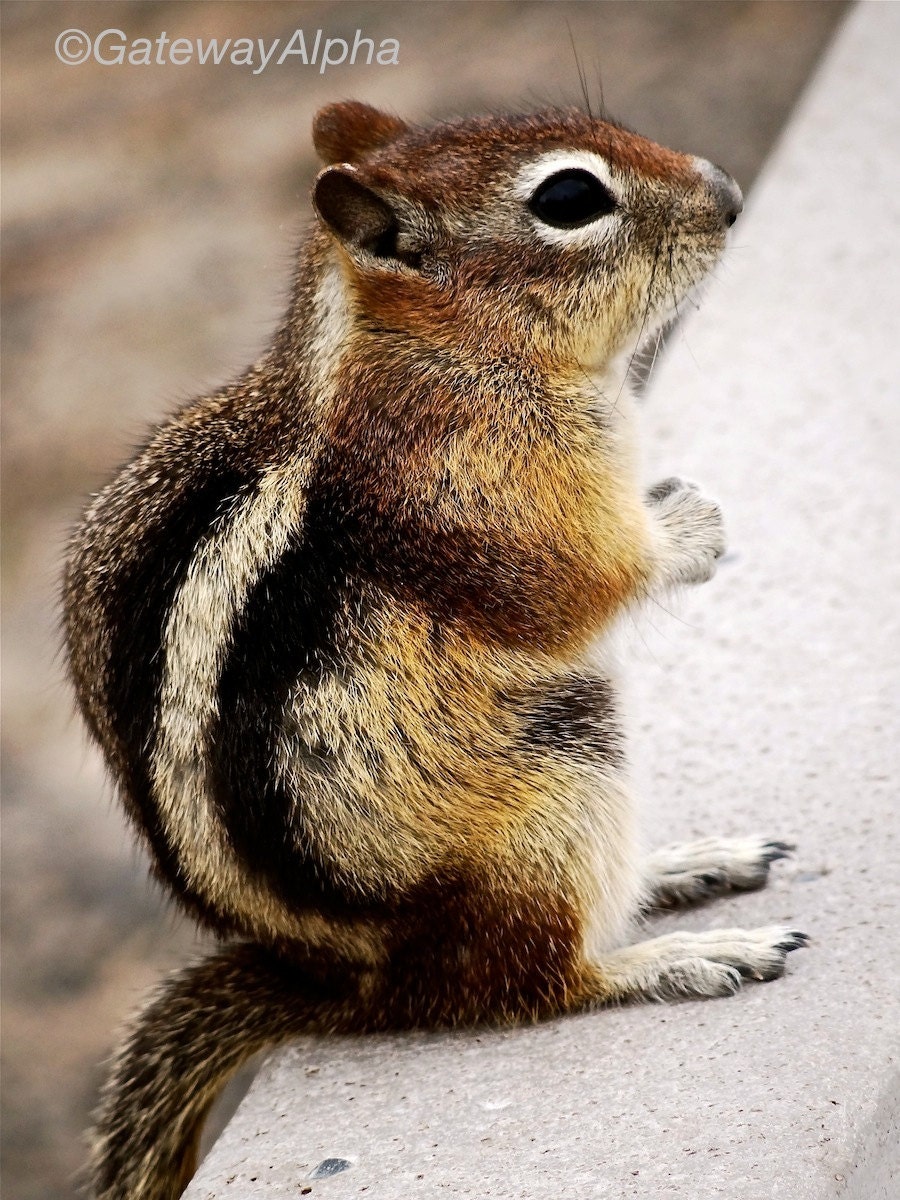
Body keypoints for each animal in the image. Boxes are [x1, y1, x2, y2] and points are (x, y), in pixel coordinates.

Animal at [65, 100, 811, 1200]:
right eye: (571, 197)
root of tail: (368, 989)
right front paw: (691, 528)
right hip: (558, 782)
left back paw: (685, 866)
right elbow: (580, 583)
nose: (727, 194)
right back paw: (676, 957)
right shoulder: (484, 491)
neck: (426, 350)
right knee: (531, 983)